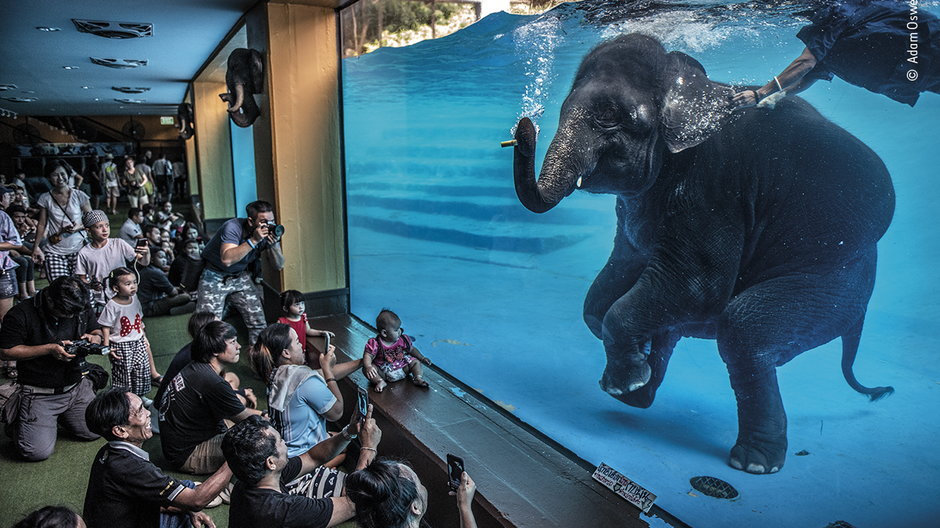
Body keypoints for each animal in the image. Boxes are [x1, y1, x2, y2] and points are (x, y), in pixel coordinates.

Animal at [516, 34, 896, 474]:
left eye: (609, 116)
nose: (523, 127)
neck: (689, 84)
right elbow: (610, 285)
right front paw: (636, 365)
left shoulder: (716, 187)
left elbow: (695, 287)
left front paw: (624, 378)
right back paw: (641, 395)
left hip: (834, 281)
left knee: (742, 330)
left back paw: (753, 464)